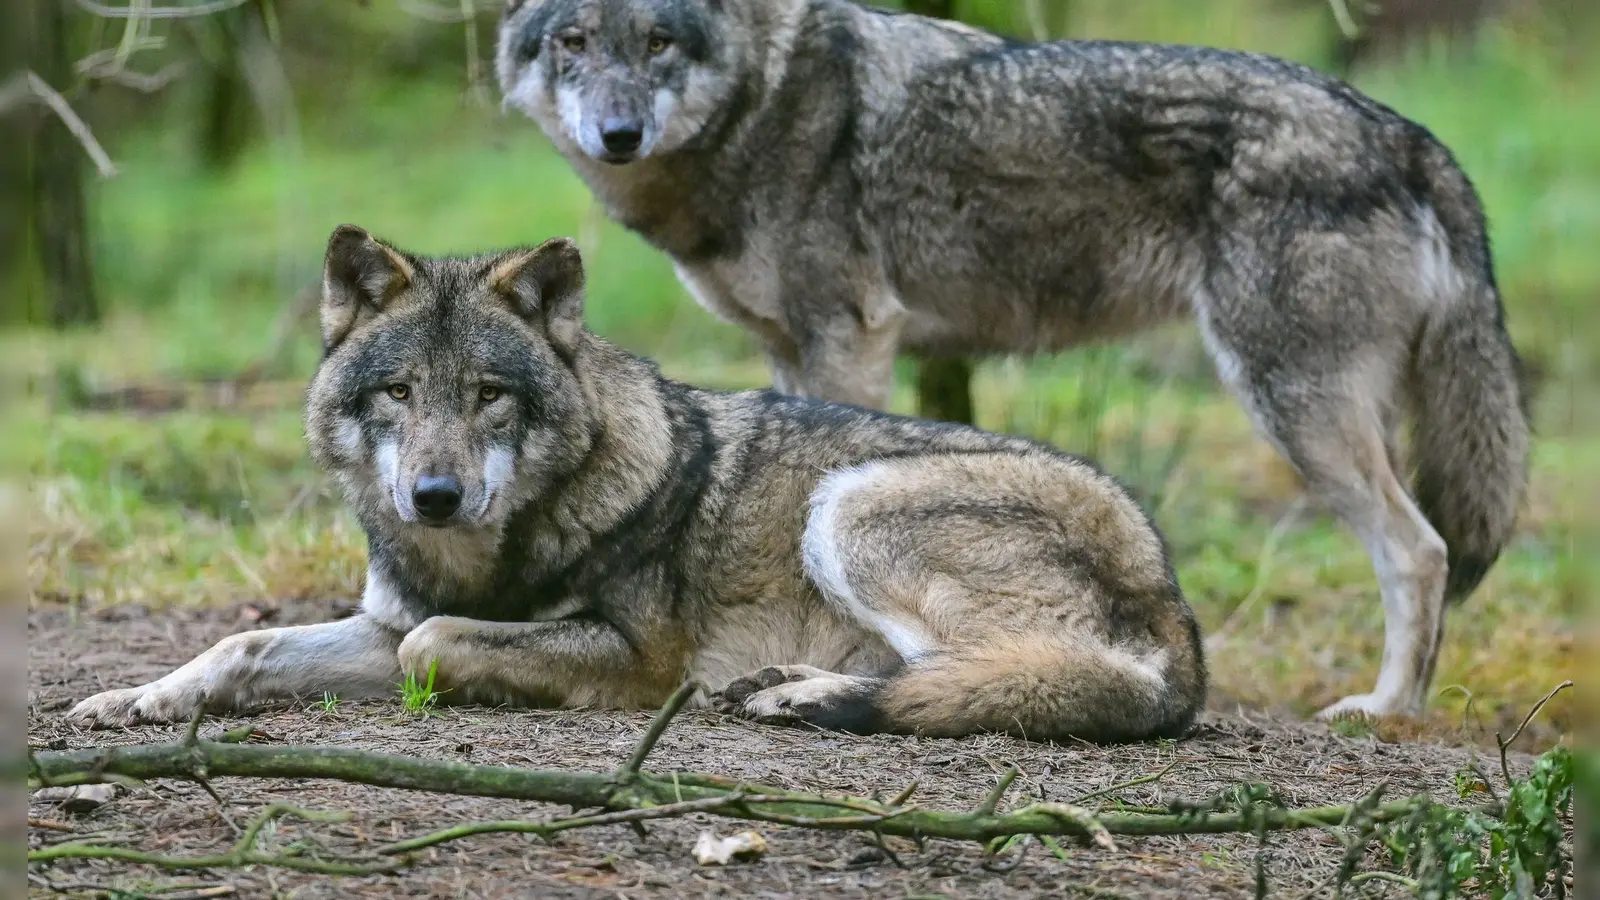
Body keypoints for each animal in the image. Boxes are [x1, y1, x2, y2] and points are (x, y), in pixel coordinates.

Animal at [68, 225, 1203, 743]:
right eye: (398, 391)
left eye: (489, 396)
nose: (433, 496)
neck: (485, 556)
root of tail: (1173, 596)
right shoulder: (386, 619)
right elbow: (246, 645)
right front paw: (135, 697)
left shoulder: (635, 658)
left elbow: (437, 646)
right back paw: (789, 686)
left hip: (852, 503)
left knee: (1015, 675)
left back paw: (806, 695)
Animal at [492, 0, 1529, 714]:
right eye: (573, 41)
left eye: (657, 42)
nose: (617, 135)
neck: (766, 99)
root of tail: (1411, 135)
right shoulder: (793, 351)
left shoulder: (849, 337)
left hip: (1289, 404)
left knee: (1422, 552)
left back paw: (1388, 709)